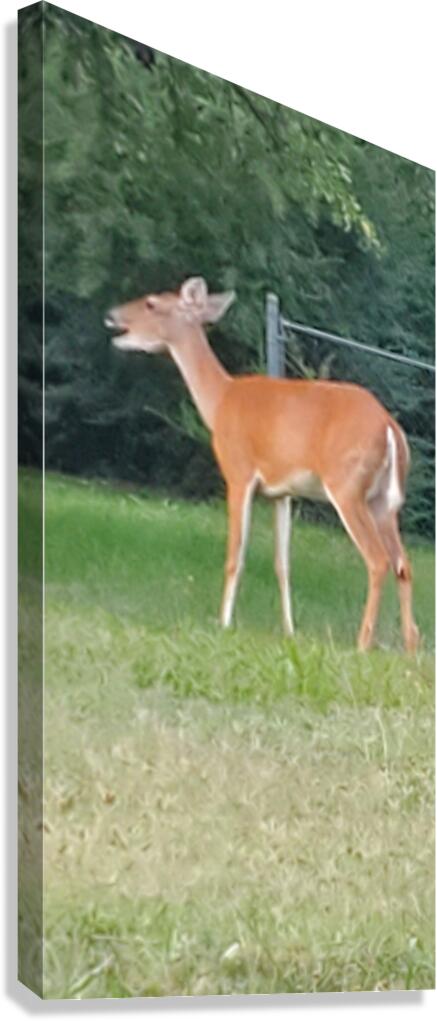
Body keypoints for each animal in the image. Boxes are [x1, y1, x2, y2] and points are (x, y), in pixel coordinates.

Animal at [105, 276, 419, 653]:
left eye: (152, 303)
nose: (111, 315)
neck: (220, 400)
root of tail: (390, 428)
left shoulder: (238, 472)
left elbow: (234, 556)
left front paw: (223, 623)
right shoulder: (282, 493)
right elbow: (282, 563)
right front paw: (289, 630)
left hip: (347, 486)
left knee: (378, 559)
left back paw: (363, 642)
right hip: (383, 500)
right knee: (403, 563)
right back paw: (411, 646)